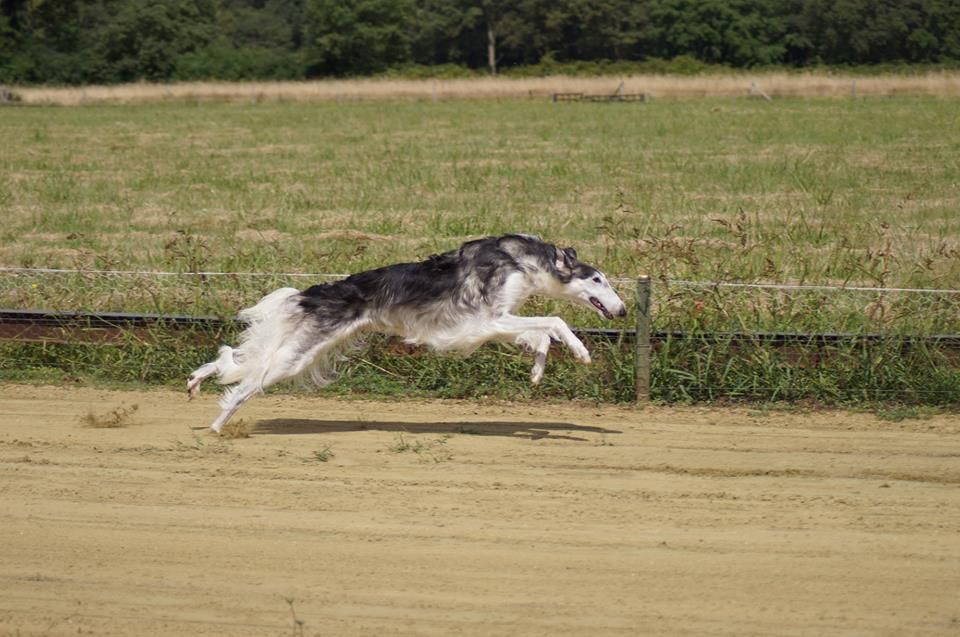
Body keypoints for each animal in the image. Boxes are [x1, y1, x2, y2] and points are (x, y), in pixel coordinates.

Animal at [186, 234, 632, 432]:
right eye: (598, 280)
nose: (623, 309)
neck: (520, 259)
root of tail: (311, 293)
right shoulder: (486, 320)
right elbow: (555, 322)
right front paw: (581, 352)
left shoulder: (496, 320)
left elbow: (539, 336)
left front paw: (537, 372)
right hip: (296, 356)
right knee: (245, 383)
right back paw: (216, 427)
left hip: (304, 352)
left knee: (237, 361)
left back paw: (198, 380)